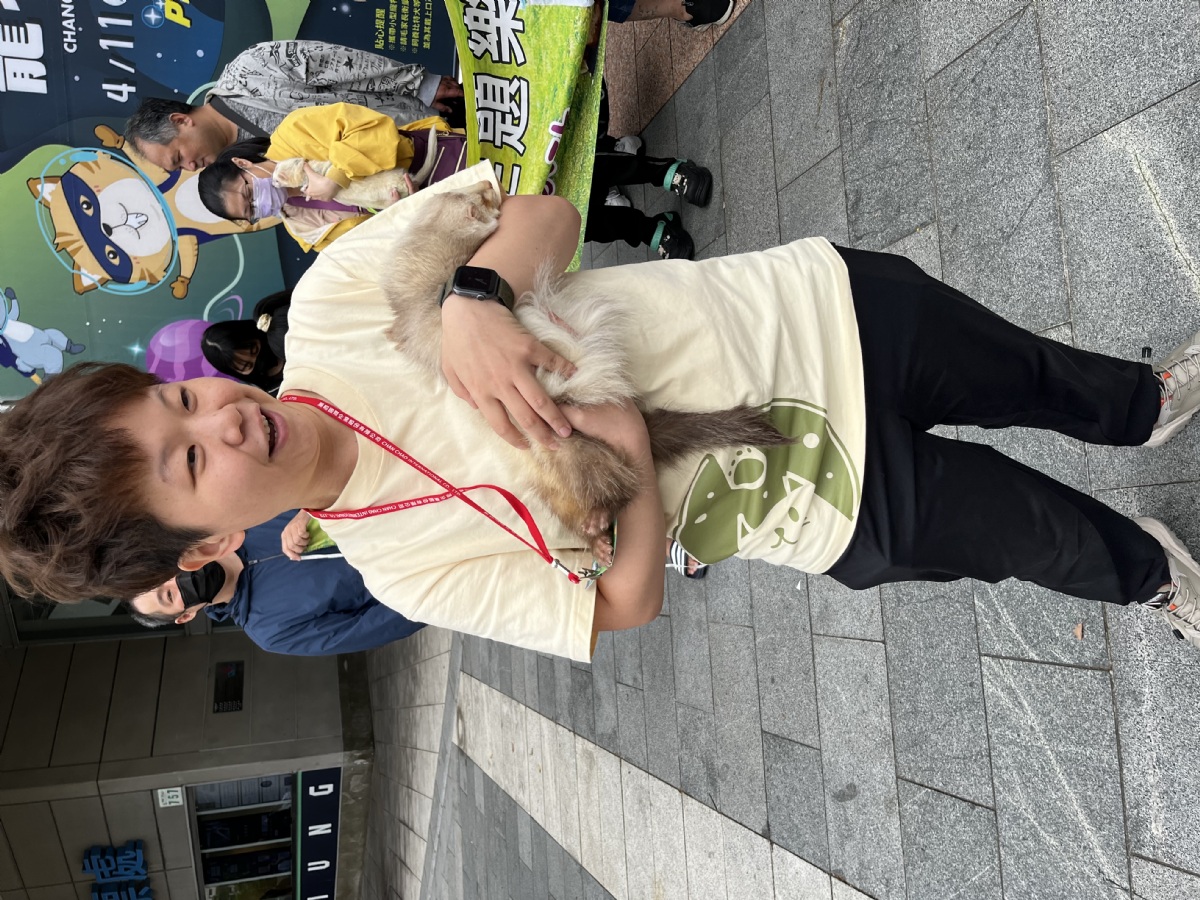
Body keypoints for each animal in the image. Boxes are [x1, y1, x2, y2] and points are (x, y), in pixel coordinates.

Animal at [382, 182, 792, 564]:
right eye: (474, 194)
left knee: (618, 490)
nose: (489, 185)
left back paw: (600, 530)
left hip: (577, 456)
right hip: (554, 486)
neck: (424, 295)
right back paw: (597, 537)